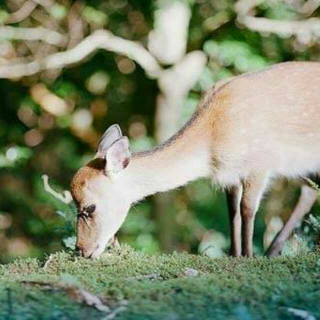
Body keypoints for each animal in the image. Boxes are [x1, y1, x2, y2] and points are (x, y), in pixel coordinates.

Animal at [71, 61, 320, 258]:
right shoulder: (230, 176)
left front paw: (249, 256)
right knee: (310, 190)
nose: (82, 250)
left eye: (90, 207)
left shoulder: (260, 164)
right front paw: (234, 255)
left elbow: (247, 209)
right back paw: (272, 251)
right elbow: (232, 212)